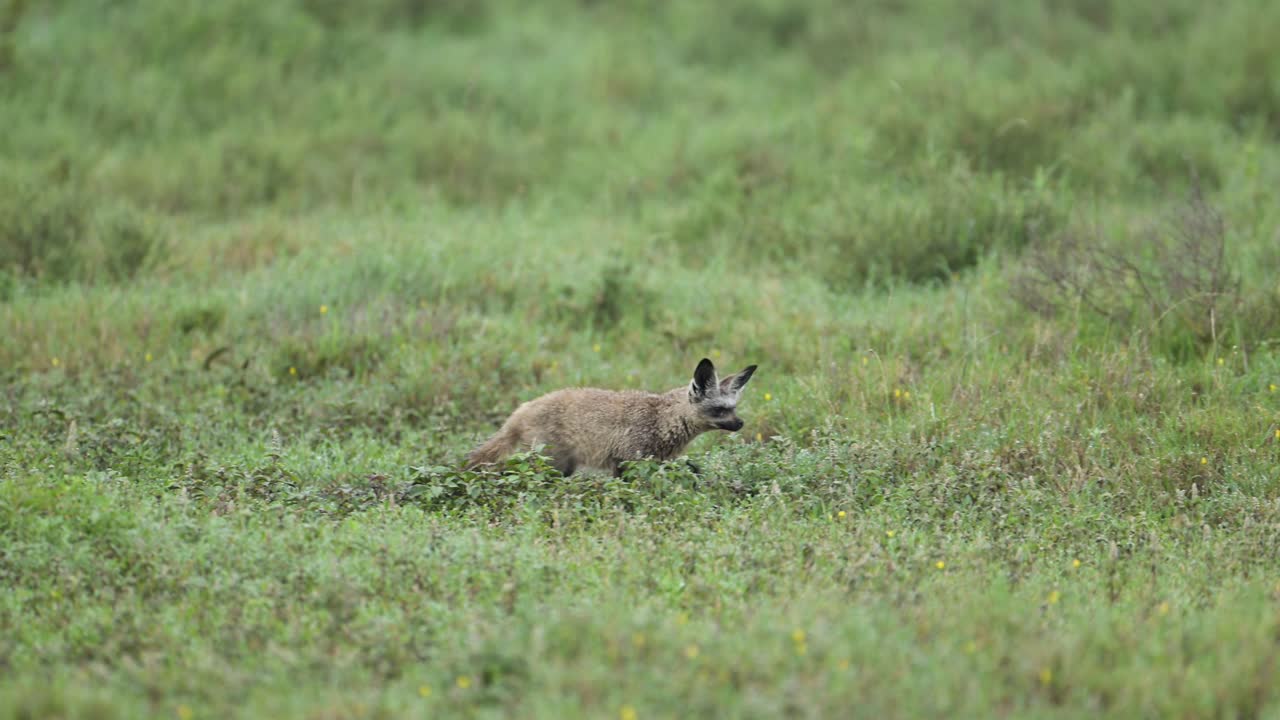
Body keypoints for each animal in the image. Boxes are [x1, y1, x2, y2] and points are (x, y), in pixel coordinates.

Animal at [465, 358, 758, 477]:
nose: (741, 423)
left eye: (734, 407)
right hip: (553, 465)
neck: (661, 418)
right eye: (719, 410)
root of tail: (521, 410)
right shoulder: (625, 461)